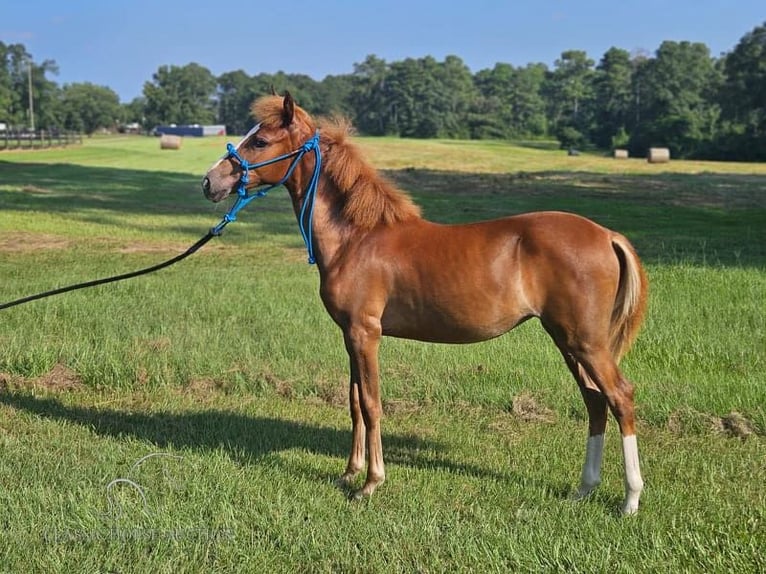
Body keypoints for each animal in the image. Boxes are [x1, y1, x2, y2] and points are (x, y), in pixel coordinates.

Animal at [201, 92, 652, 516]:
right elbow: (354, 403)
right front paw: (349, 473)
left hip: (585, 343)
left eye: (260, 140)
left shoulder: (366, 334)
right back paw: (584, 489)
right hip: (568, 341)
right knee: (595, 402)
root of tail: (606, 234)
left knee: (620, 397)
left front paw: (370, 483)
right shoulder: (350, 336)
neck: (357, 238)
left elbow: (371, 404)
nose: (209, 181)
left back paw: (630, 499)